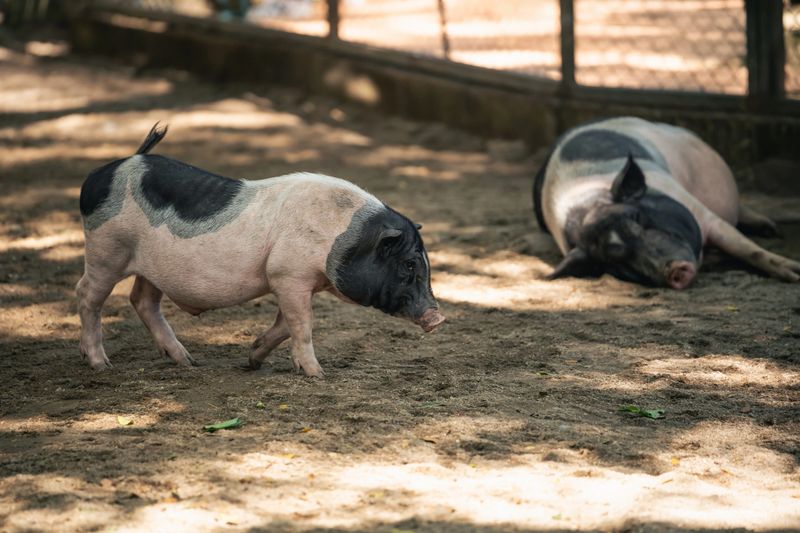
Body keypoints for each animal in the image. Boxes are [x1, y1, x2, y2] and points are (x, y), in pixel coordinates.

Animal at [77, 123, 445, 376]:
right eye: (409, 264)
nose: (438, 316)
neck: (343, 237)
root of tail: (107, 171)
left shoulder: (290, 280)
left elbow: (287, 323)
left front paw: (252, 360)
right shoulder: (288, 274)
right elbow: (303, 324)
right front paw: (318, 374)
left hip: (151, 267)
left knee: (142, 301)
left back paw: (187, 361)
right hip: (106, 249)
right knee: (87, 295)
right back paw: (100, 364)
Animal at [533, 116, 800, 288]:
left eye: (637, 217)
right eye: (614, 260)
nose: (672, 269)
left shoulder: (698, 210)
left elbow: (746, 248)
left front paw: (795, 273)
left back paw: (770, 229)